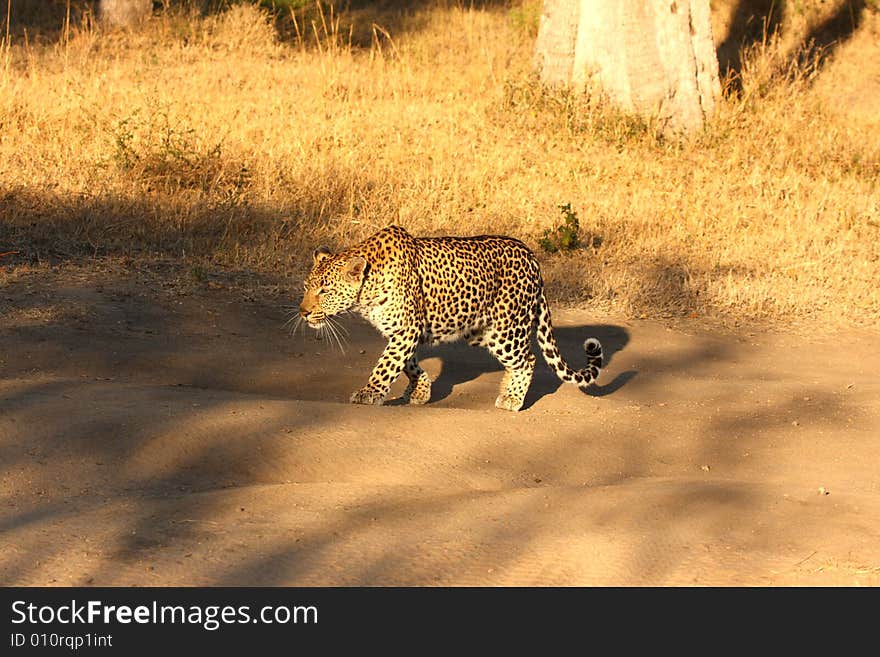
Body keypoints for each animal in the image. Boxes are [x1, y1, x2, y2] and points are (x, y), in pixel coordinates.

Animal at [300, 226, 600, 410]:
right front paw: (420, 390)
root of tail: (531, 256)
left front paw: (369, 392)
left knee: (528, 359)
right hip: (482, 331)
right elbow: (407, 364)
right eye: (305, 287)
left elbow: (387, 364)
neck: (367, 291)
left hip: (505, 331)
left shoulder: (406, 329)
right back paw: (506, 389)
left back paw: (513, 398)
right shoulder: (402, 331)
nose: (303, 312)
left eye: (324, 291)